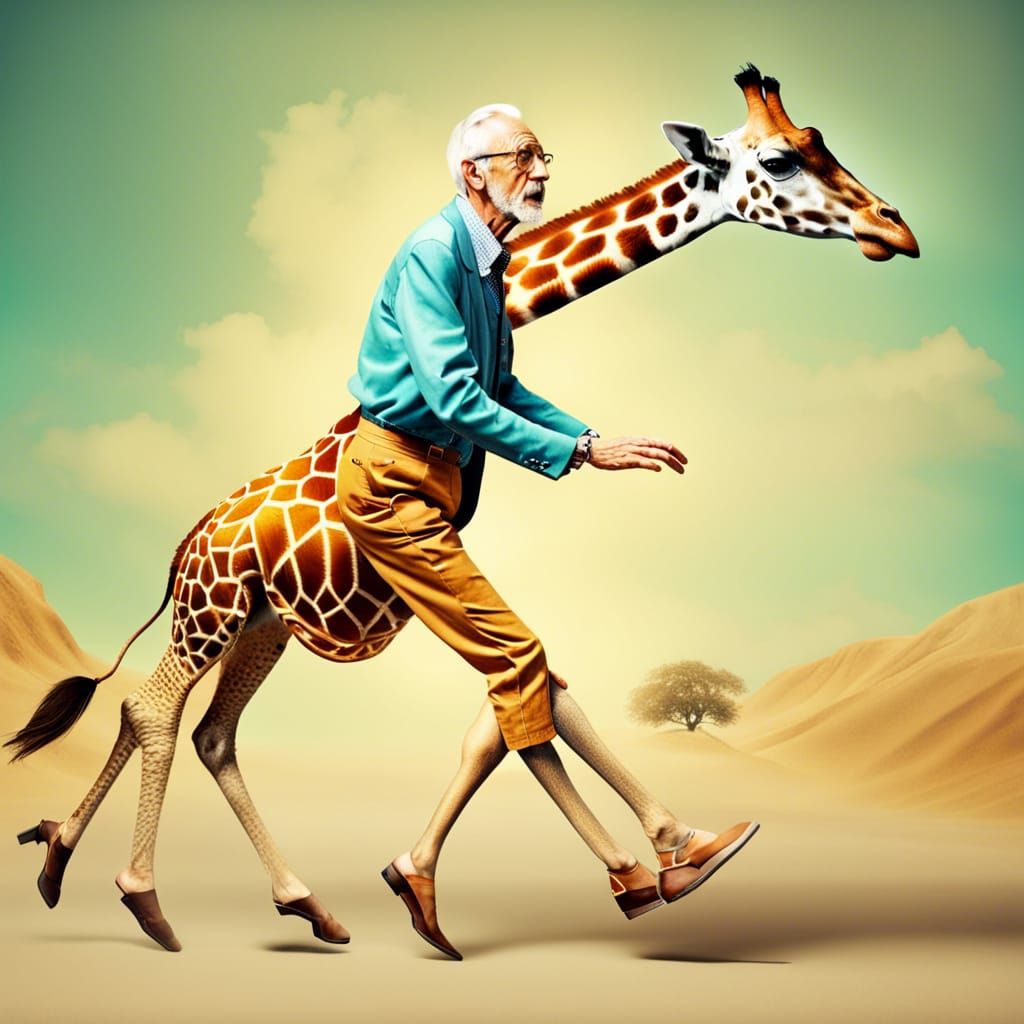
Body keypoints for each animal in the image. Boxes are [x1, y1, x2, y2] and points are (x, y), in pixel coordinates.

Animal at [9, 65, 918, 951]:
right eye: (780, 162)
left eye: (819, 139)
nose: (897, 231)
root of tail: (182, 552)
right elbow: (516, 705)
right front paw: (651, 868)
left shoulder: (442, 581)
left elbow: (518, 704)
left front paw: (658, 859)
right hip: (213, 612)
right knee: (151, 709)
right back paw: (143, 900)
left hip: (261, 627)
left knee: (207, 732)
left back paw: (165, 879)